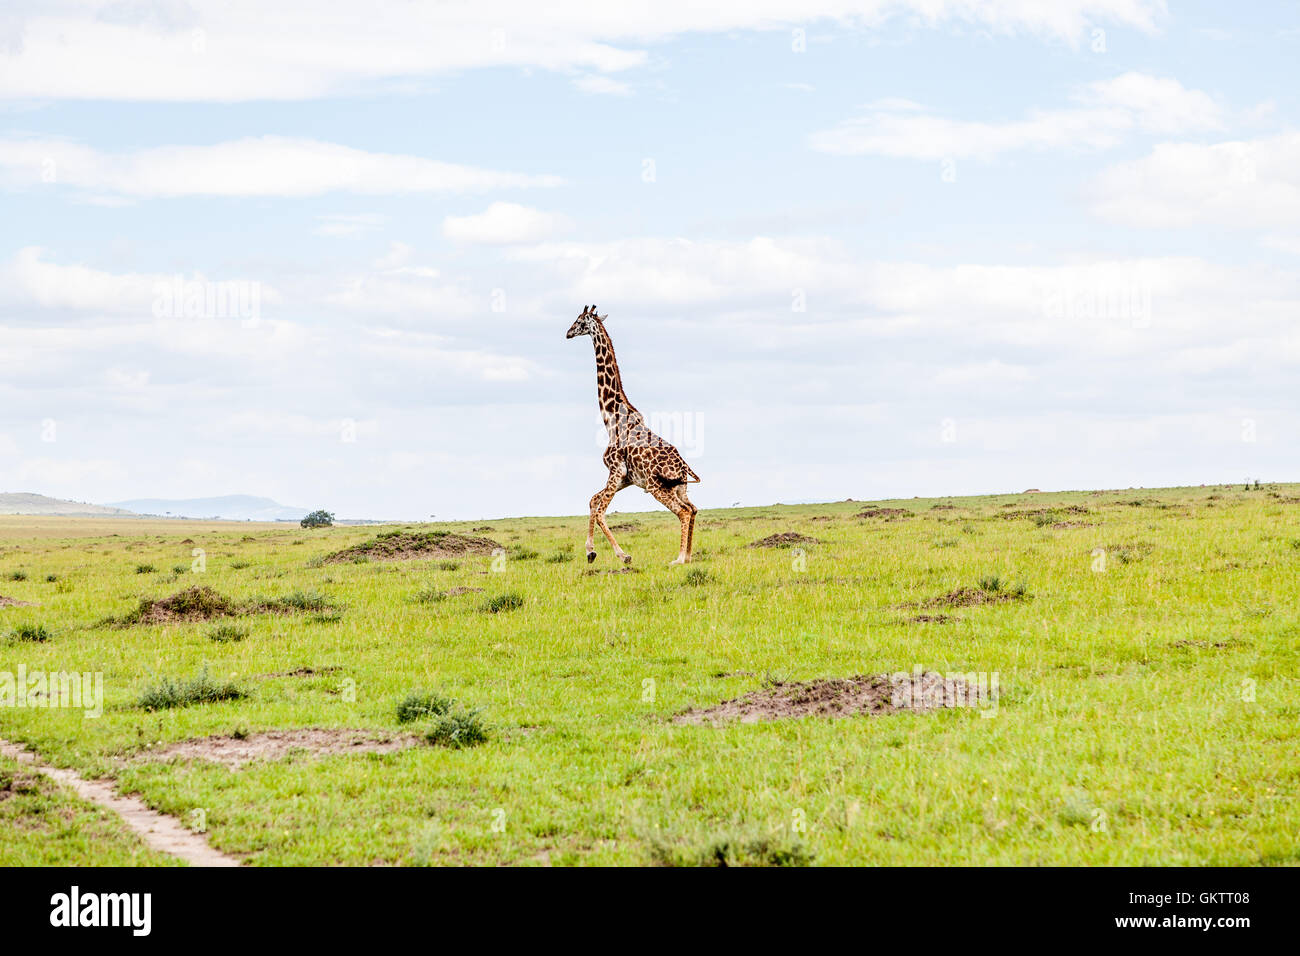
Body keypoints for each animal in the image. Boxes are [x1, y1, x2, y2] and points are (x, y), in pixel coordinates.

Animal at [561, 303, 696, 564]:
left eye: (579, 321)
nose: (568, 333)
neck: (613, 421)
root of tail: (684, 468)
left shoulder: (615, 470)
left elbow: (600, 511)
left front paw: (623, 555)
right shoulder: (626, 478)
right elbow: (593, 500)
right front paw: (590, 552)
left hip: (656, 486)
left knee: (684, 512)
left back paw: (678, 559)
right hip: (678, 487)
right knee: (693, 509)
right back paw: (688, 556)